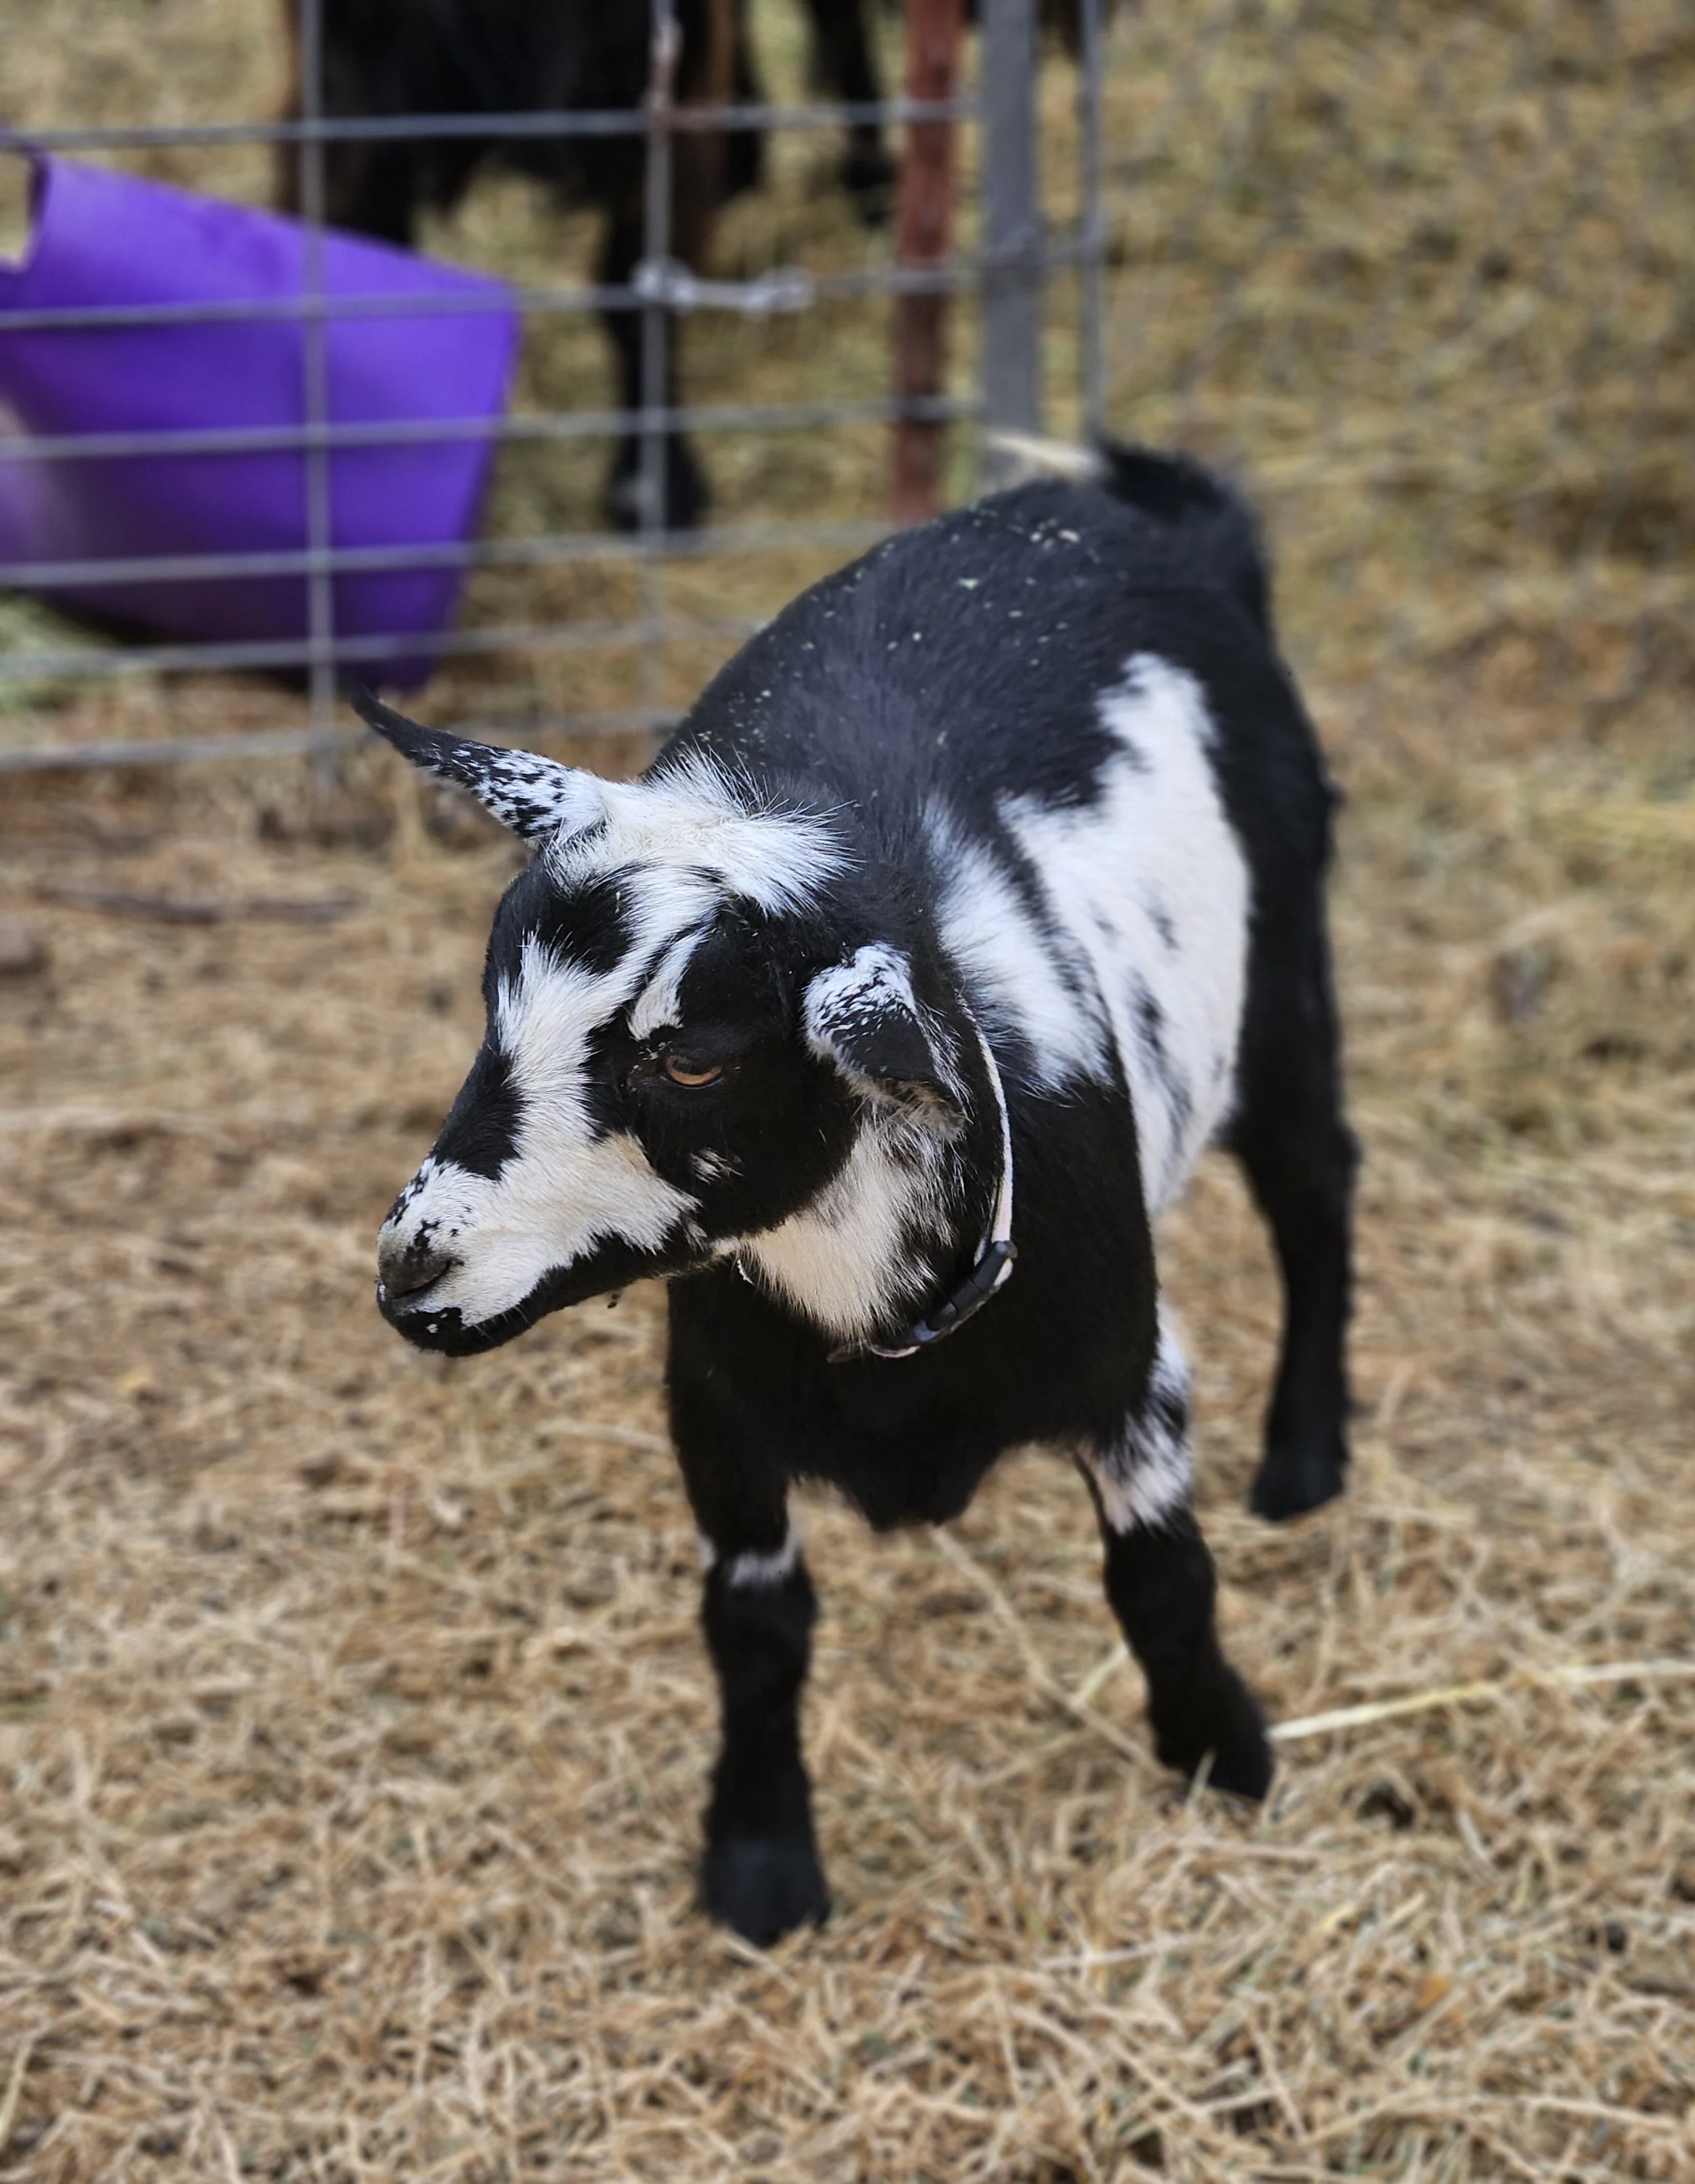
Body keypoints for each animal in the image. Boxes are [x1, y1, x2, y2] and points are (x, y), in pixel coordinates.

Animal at [354, 442, 1358, 1946]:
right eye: (493, 998)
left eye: (694, 1052)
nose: (410, 1269)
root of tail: (1135, 501)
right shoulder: (714, 1411)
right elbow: (754, 1626)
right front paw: (762, 1861)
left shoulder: (1133, 1370)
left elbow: (1162, 1574)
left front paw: (1219, 1752)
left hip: (1284, 973)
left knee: (1316, 1185)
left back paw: (1305, 1458)